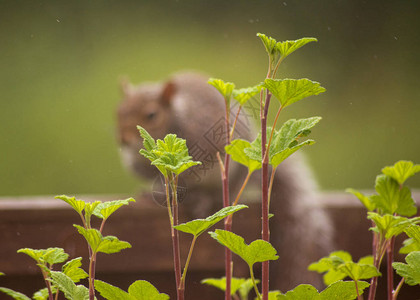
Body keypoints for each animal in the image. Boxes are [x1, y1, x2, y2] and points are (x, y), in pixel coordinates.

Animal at [116, 71, 334, 292]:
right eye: (118, 112)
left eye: (151, 115)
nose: (123, 139)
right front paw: (154, 192)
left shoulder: (202, 150)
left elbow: (187, 176)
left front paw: (178, 194)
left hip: (235, 172)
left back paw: (203, 199)